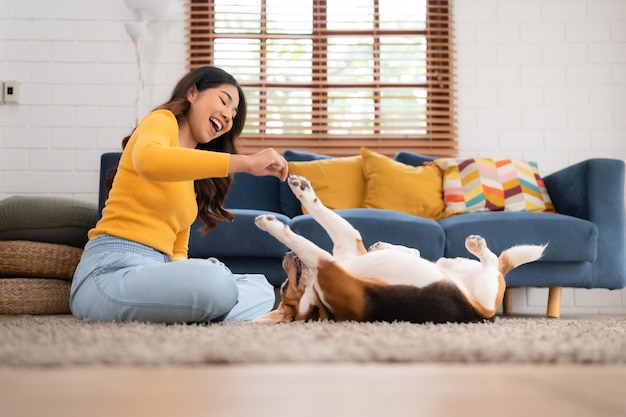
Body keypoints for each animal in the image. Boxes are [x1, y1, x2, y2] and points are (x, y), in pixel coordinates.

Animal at [251, 174, 544, 324]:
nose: (286, 256)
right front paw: (271, 224)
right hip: (485, 289)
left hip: (451, 267)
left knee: (416, 252)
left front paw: (299, 193)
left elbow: (322, 216)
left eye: (284, 286)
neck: (316, 299)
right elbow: (307, 245)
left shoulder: (346, 244)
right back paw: (477, 245)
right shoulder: (329, 266)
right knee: (491, 260)